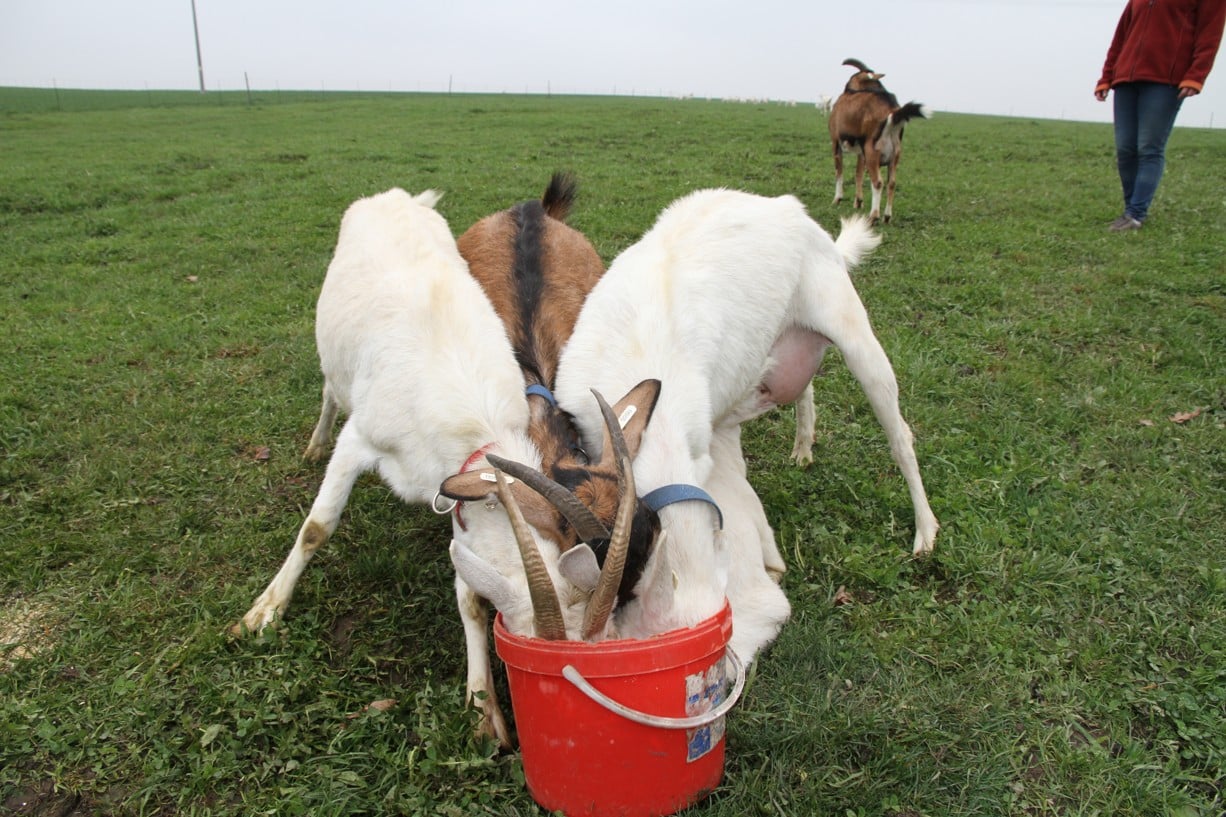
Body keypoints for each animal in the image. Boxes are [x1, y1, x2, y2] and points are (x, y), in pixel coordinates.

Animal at [232, 186, 627, 745]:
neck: (473, 421)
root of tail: (397, 195)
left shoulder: (460, 491)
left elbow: (469, 593)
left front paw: (484, 711)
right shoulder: (361, 440)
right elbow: (317, 527)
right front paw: (263, 612)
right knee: (331, 387)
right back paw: (314, 443)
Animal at [556, 186, 936, 657]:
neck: (633, 356)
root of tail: (790, 209)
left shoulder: (696, 450)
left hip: (852, 331)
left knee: (899, 434)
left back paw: (926, 533)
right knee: (805, 386)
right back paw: (803, 447)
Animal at [828, 56, 931, 223]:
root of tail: (892, 113)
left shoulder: (836, 143)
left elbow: (839, 172)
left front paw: (837, 199)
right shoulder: (861, 153)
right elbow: (858, 174)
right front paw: (858, 202)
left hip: (873, 152)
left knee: (877, 182)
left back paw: (874, 216)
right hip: (894, 156)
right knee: (892, 182)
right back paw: (887, 216)